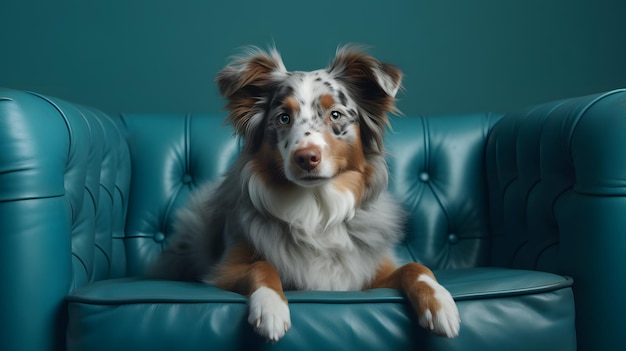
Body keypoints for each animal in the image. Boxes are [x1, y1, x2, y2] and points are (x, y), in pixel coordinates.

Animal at [147, 45, 458, 342]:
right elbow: (262, 266)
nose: (306, 157)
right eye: (283, 118)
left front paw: (441, 303)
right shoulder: (222, 272)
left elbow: (415, 267)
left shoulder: (368, 273)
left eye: (335, 114)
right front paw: (271, 307)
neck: (317, 208)